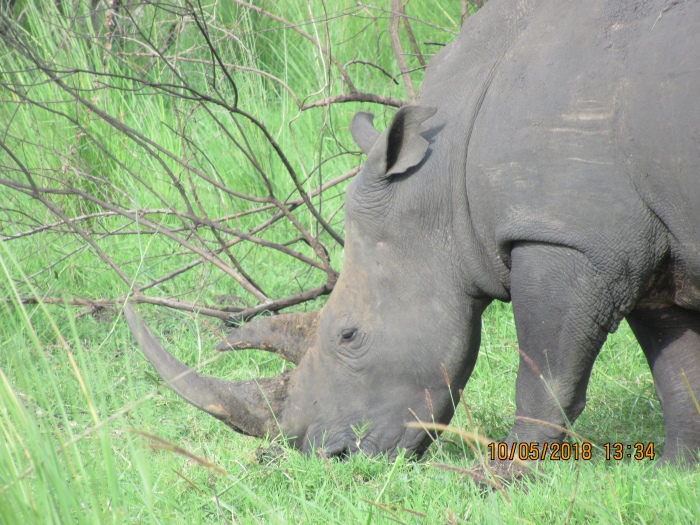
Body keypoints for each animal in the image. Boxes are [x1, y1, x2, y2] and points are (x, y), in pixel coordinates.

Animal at [125, 0, 700, 471]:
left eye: (349, 336)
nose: (330, 457)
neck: (442, 179)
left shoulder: (565, 236)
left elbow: (546, 375)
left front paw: (501, 482)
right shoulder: (643, 242)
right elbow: (678, 368)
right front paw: (673, 472)